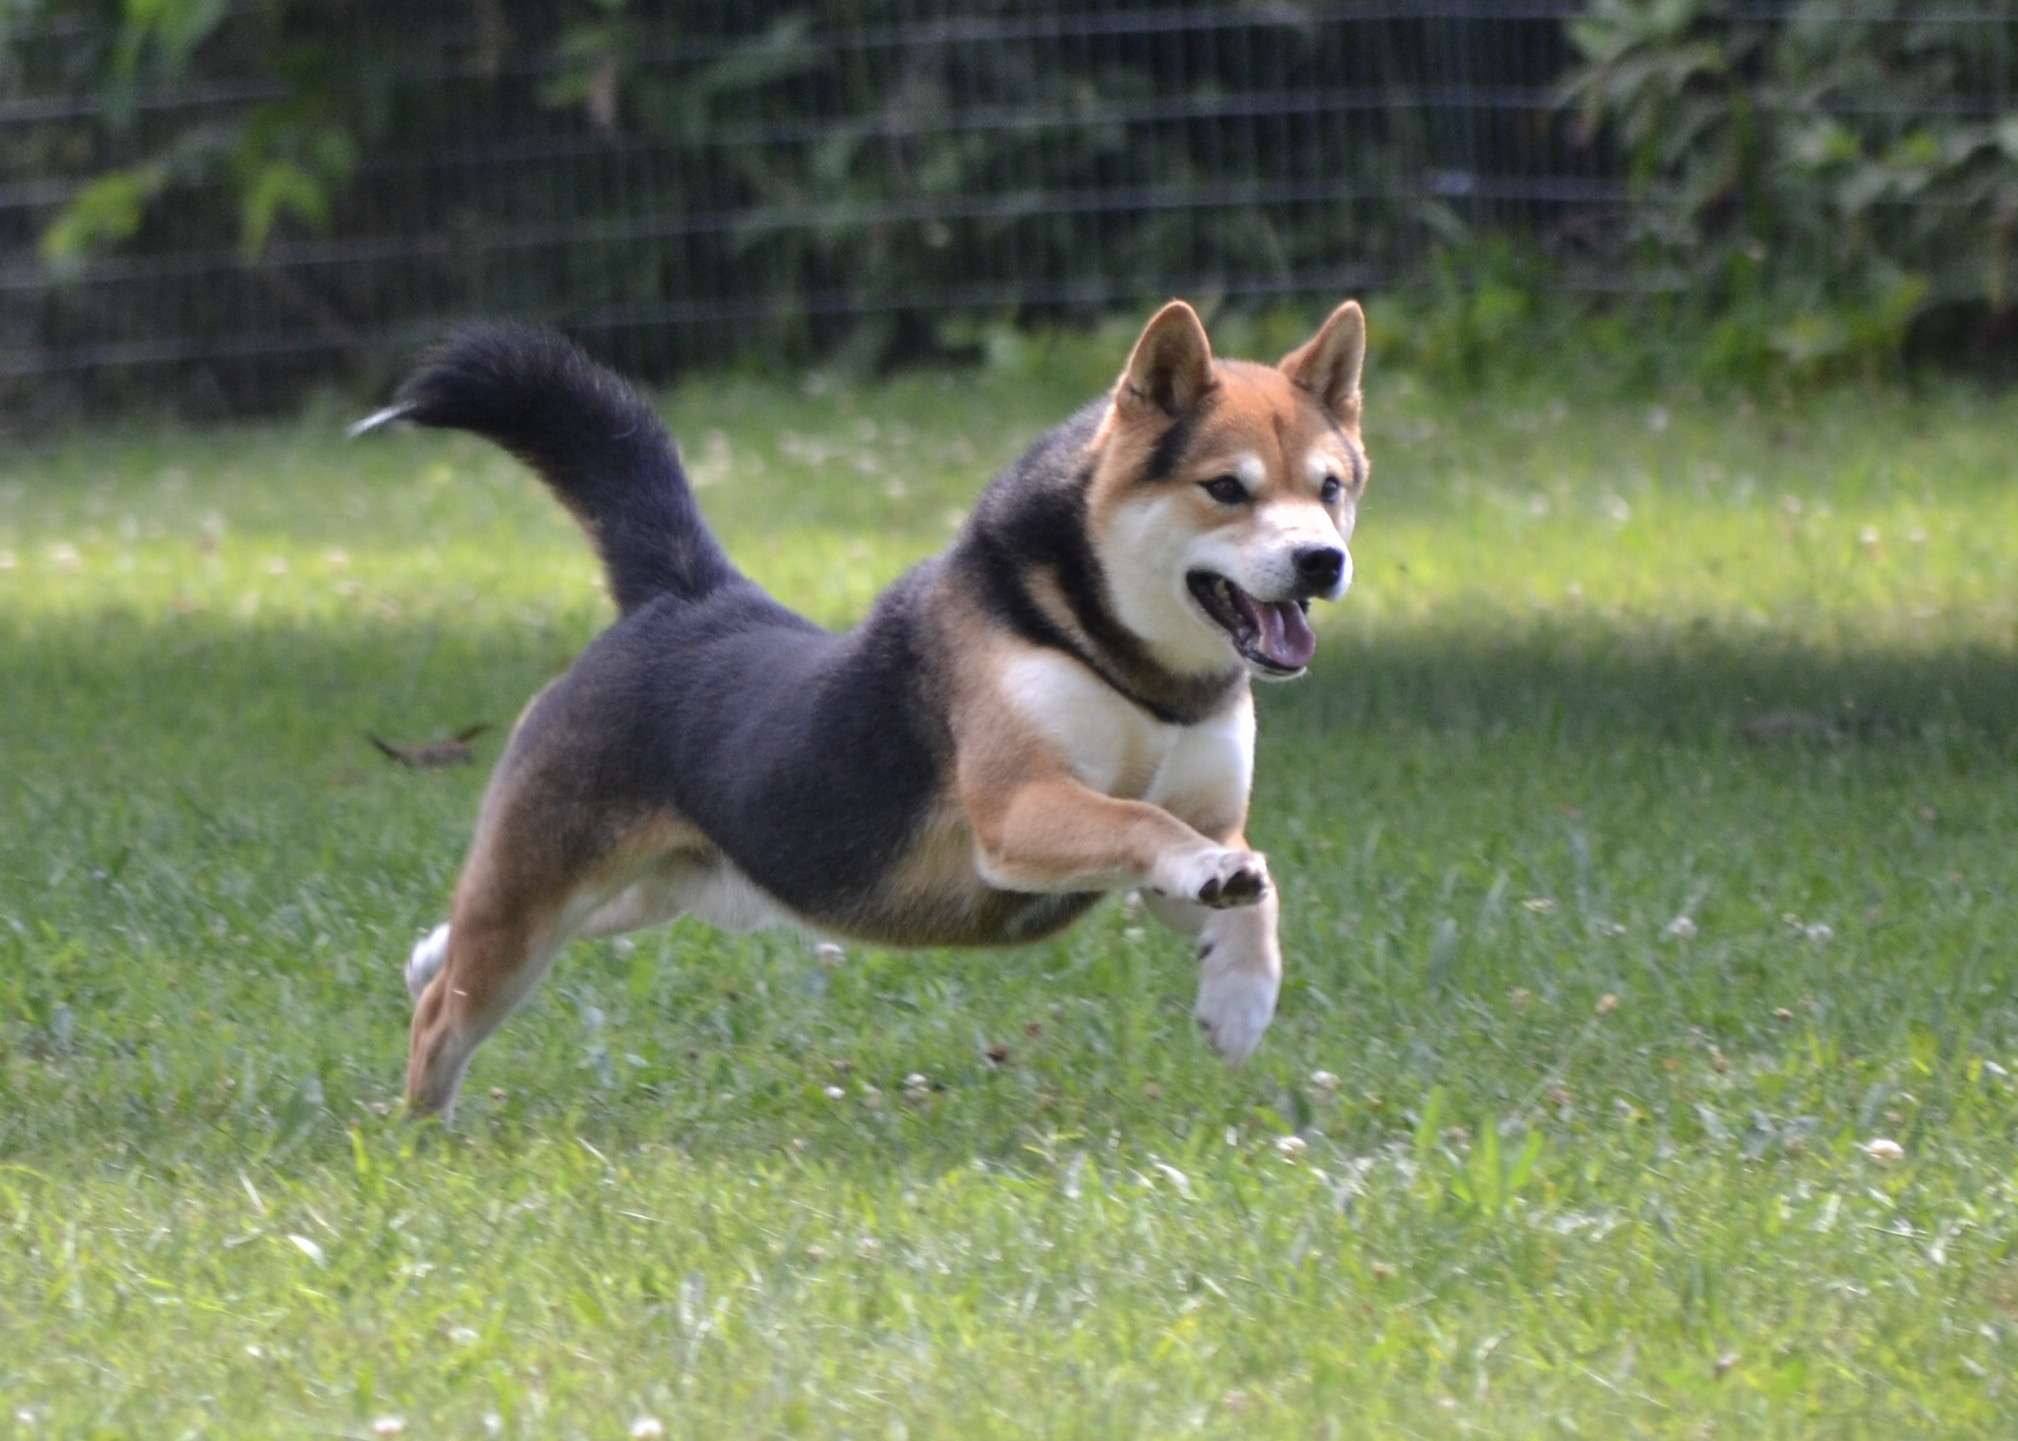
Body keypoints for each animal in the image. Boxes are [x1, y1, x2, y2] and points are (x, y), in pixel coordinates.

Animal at [359, 300, 1372, 1114]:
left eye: (1330, 487)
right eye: (1226, 488)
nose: (1323, 560)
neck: (1130, 667)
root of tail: (685, 596)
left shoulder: (1199, 833)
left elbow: (1247, 896)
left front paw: (1238, 1003)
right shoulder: (1018, 810)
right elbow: (1139, 821)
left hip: (658, 887)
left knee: (464, 946)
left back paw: (425, 955)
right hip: (540, 893)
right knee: (441, 1017)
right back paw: (426, 1132)